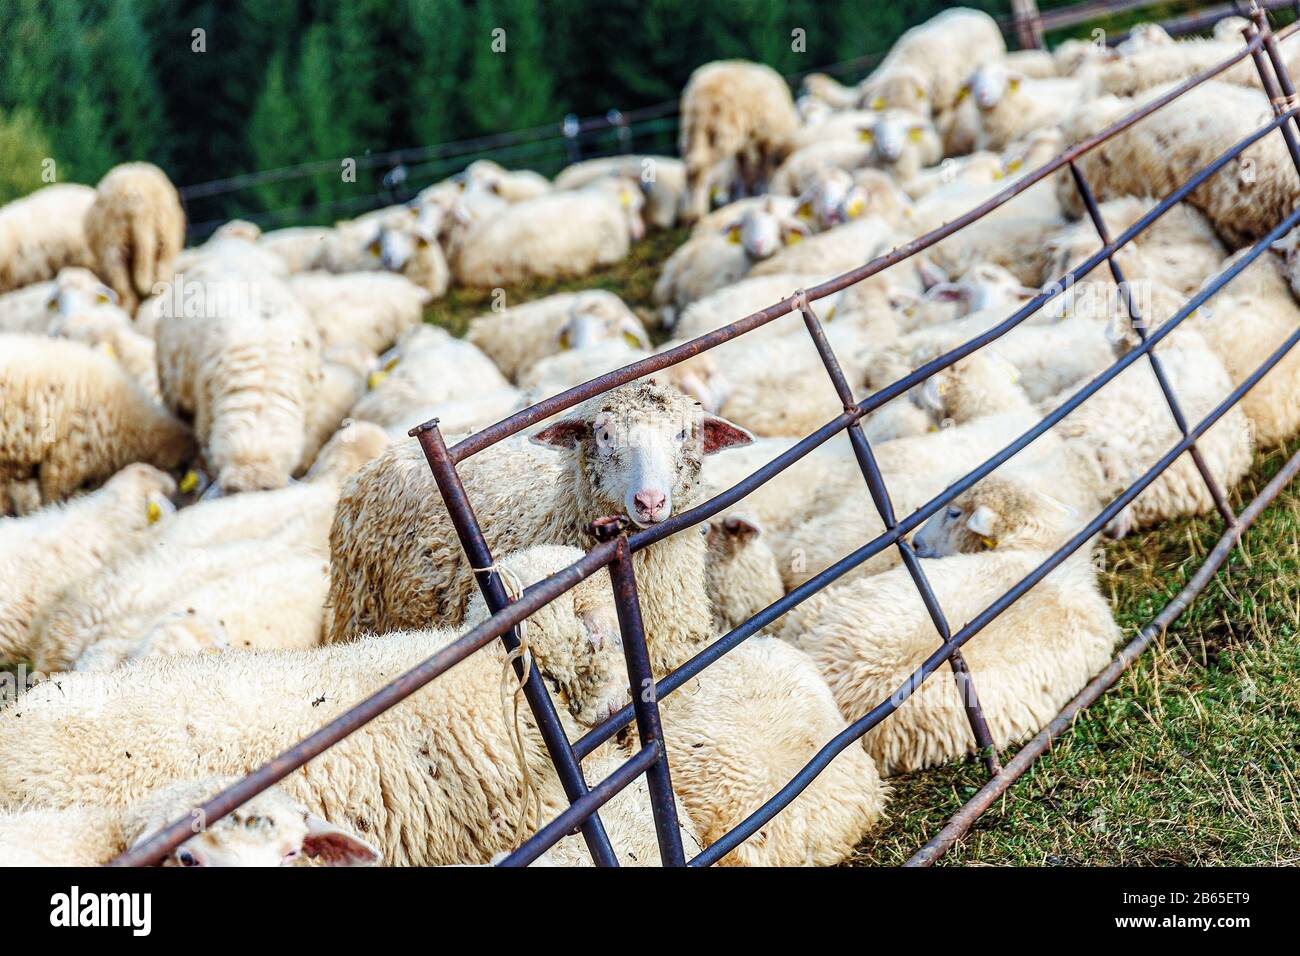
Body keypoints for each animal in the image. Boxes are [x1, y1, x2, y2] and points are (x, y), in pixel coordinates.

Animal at [679, 60, 800, 221]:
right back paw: (696, 213)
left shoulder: (748, 145)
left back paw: (689, 214)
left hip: (693, 129)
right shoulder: (767, 141)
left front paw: (742, 198)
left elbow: (744, 171)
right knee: (702, 165)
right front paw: (758, 193)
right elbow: (761, 171)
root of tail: (701, 94)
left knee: (692, 165)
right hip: (722, 130)